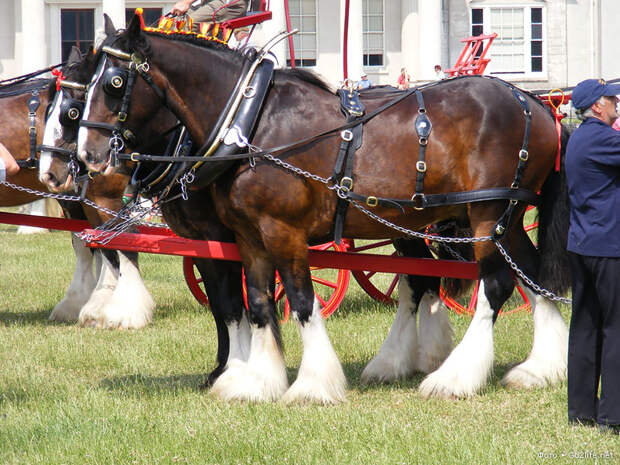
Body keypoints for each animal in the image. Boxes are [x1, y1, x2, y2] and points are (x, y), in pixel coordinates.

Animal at [75, 17, 568, 402]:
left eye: (114, 83)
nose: (87, 157)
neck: (251, 124)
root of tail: (535, 103)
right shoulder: (248, 238)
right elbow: (257, 304)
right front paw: (255, 381)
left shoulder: (282, 232)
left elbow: (298, 301)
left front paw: (312, 385)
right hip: (501, 218)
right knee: (531, 275)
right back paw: (540, 369)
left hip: (489, 213)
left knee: (496, 284)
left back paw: (456, 377)